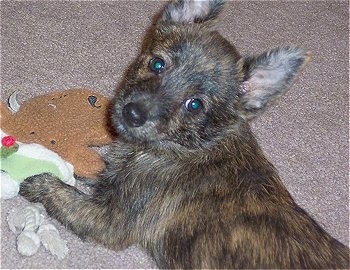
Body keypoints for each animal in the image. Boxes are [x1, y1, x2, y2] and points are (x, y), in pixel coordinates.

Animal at [20, 0, 348, 268]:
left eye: (195, 105)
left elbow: (65, 194)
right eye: (157, 63)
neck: (192, 145)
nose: (133, 113)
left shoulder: (110, 220)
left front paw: (37, 181)